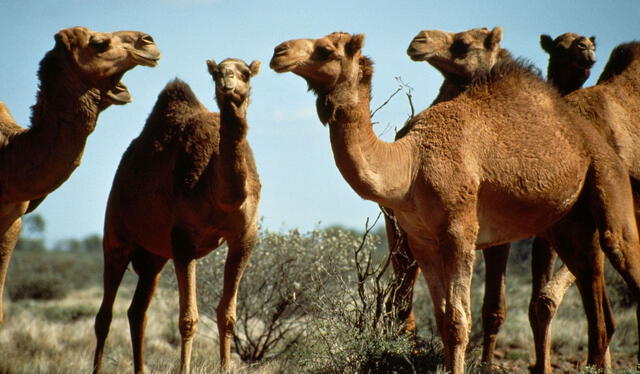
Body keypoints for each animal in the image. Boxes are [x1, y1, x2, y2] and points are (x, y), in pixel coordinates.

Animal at [268, 32, 640, 374]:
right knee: (594, 297)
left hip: (609, 182)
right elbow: (444, 318)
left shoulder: (460, 231)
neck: (410, 164)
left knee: (621, 257)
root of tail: (590, 137)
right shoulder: (423, 241)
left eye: (325, 50)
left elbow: (460, 320)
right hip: (568, 225)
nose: (278, 51)